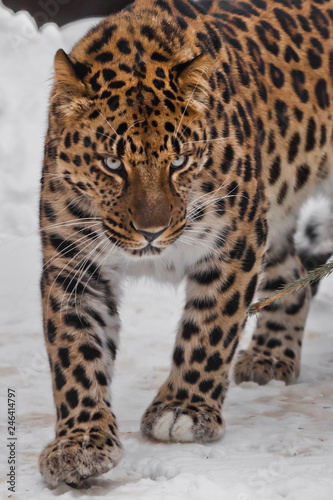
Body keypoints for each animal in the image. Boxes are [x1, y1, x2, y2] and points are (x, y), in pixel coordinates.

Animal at [37, 0, 332, 488]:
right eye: (112, 163)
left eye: (178, 162)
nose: (152, 232)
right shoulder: (73, 263)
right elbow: (75, 354)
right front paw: (80, 442)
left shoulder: (235, 240)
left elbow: (210, 328)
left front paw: (183, 410)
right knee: (293, 276)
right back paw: (271, 357)